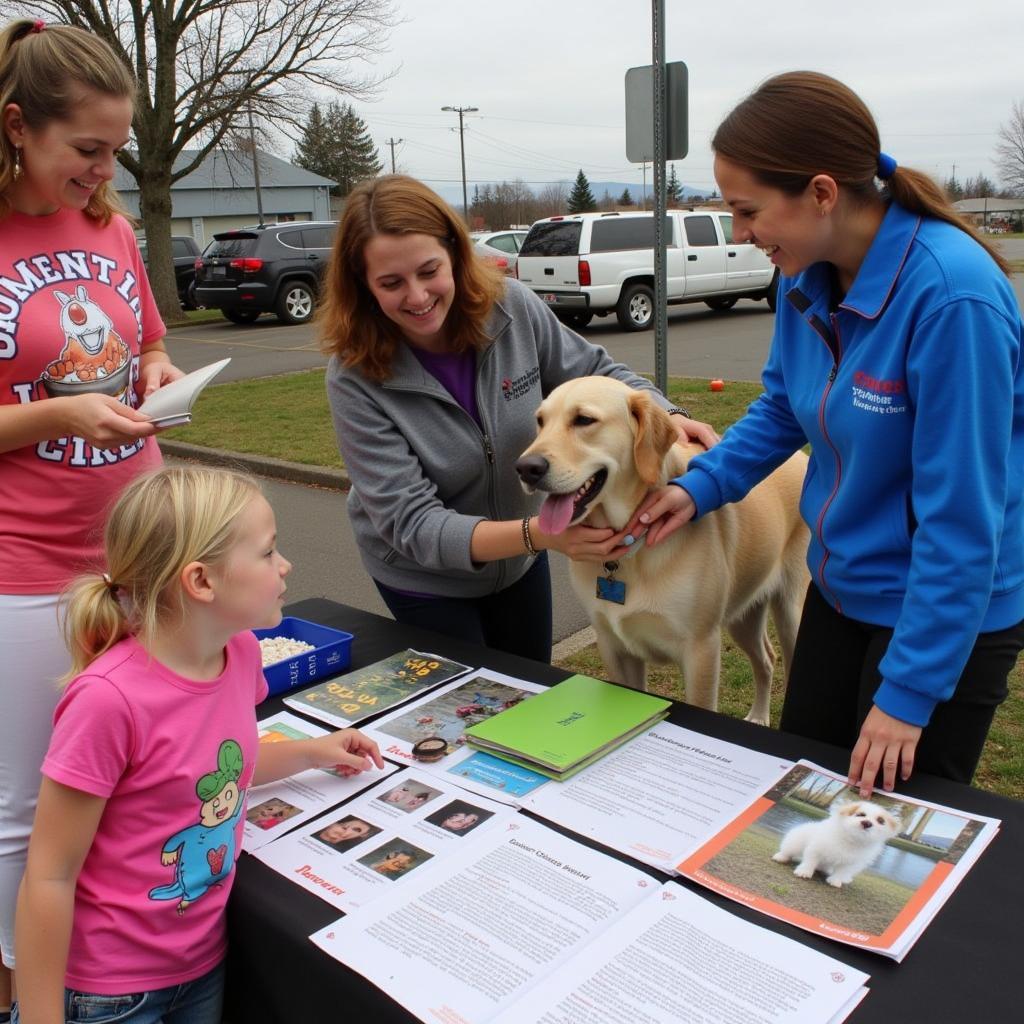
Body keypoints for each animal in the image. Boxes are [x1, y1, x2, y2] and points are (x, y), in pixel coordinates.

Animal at [520, 374, 806, 720]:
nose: (526, 468)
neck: (630, 553)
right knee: (766, 657)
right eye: (540, 421)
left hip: (792, 617)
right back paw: (759, 715)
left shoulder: (700, 650)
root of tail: (802, 456)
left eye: (584, 419)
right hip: (744, 612)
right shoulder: (614, 646)